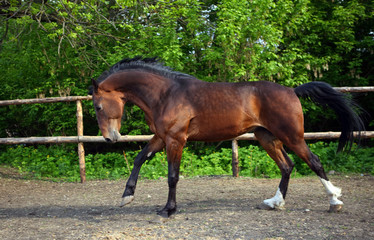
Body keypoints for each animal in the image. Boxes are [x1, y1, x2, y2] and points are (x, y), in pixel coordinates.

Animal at [89, 56, 364, 218]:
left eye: (98, 106)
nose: (110, 138)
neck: (166, 94)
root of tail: (292, 90)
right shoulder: (161, 136)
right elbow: (139, 159)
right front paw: (126, 197)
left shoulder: (176, 140)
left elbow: (172, 176)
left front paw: (168, 209)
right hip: (266, 137)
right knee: (287, 165)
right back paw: (274, 203)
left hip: (291, 136)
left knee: (313, 161)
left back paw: (334, 201)